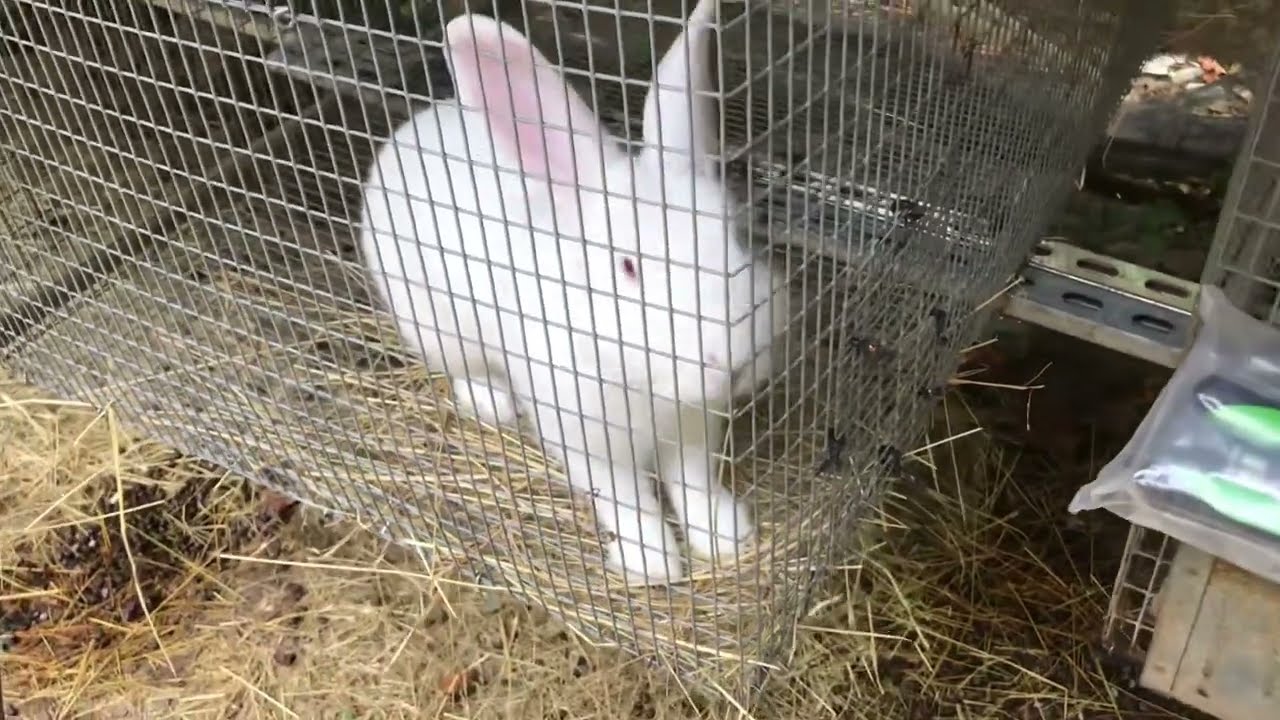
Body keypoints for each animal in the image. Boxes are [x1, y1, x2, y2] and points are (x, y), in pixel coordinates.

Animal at [359, 0, 788, 585]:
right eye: (628, 266)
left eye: (735, 234)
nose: (736, 358)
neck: (641, 380)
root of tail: (414, 125)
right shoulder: (587, 440)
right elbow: (627, 500)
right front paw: (653, 563)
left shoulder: (693, 427)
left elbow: (695, 484)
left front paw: (725, 536)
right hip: (436, 327)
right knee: (465, 371)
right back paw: (496, 403)